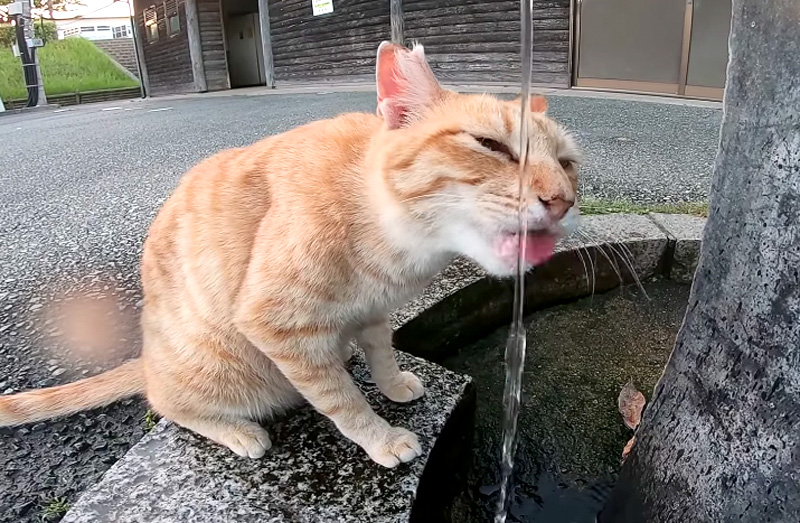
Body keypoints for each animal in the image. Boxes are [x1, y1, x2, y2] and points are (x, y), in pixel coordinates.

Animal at [0, 42, 576, 466]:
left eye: (568, 163)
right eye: (492, 146)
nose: (561, 201)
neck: (394, 240)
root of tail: (147, 356)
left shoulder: (373, 312)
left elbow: (382, 353)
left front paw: (392, 385)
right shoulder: (276, 324)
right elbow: (343, 400)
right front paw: (382, 437)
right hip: (218, 369)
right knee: (166, 403)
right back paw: (238, 431)